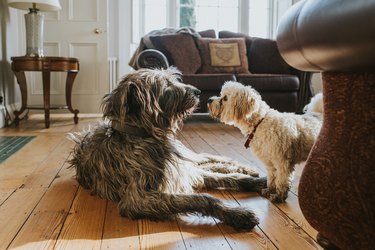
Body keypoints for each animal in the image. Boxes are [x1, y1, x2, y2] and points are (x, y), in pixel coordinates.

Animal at [67, 68, 268, 230]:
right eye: (165, 85)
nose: (198, 92)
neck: (143, 136)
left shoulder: (183, 171)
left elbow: (229, 178)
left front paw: (258, 181)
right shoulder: (138, 199)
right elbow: (204, 198)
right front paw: (236, 214)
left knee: (207, 159)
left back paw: (246, 168)